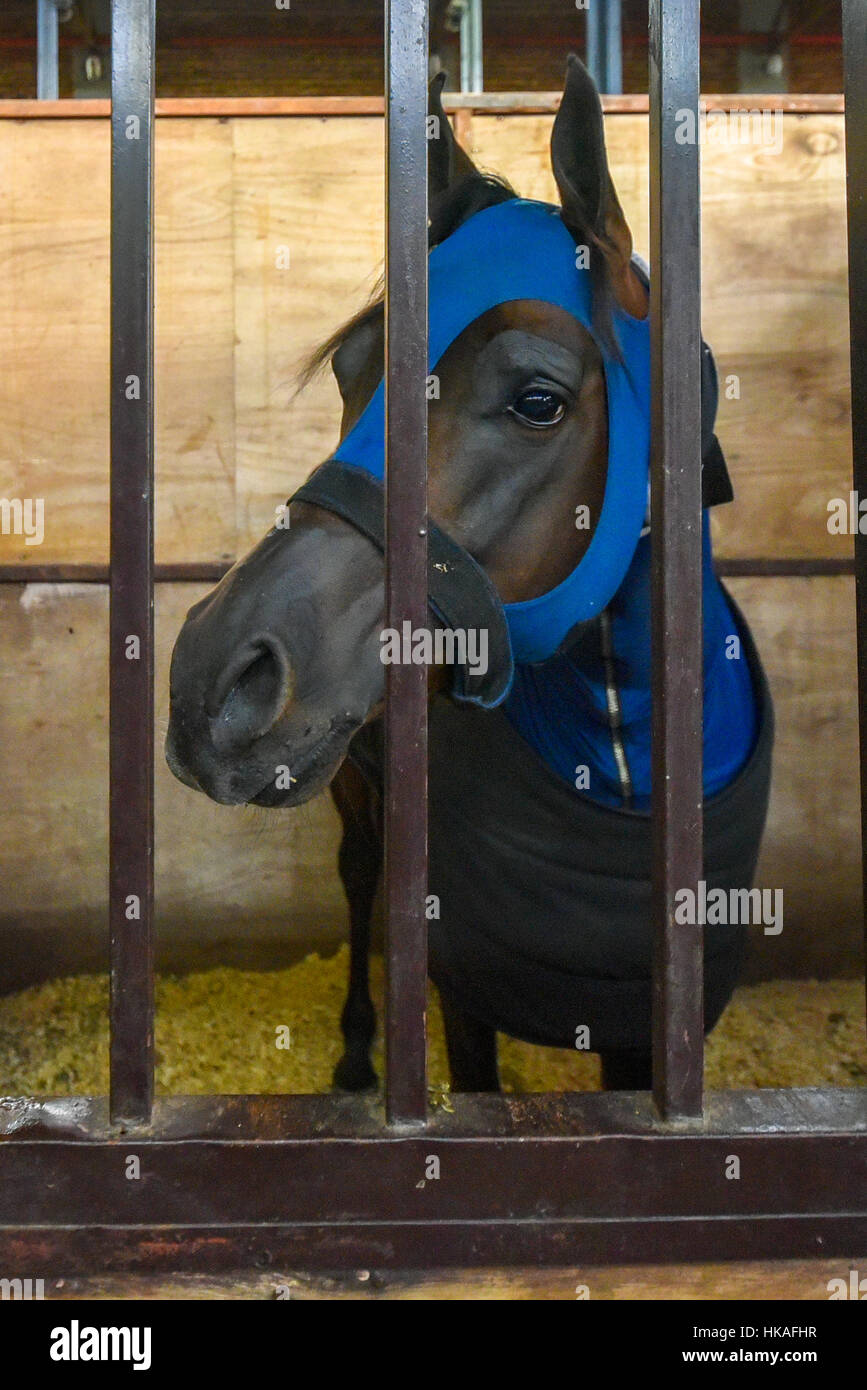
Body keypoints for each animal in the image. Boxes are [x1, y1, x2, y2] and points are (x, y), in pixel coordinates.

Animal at [166, 56, 773, 1094]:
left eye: (537, 400)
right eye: (352, 369)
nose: (213, 676)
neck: (621, 759)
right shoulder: (465, 997)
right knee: (360, 877)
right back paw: (356, 1056)